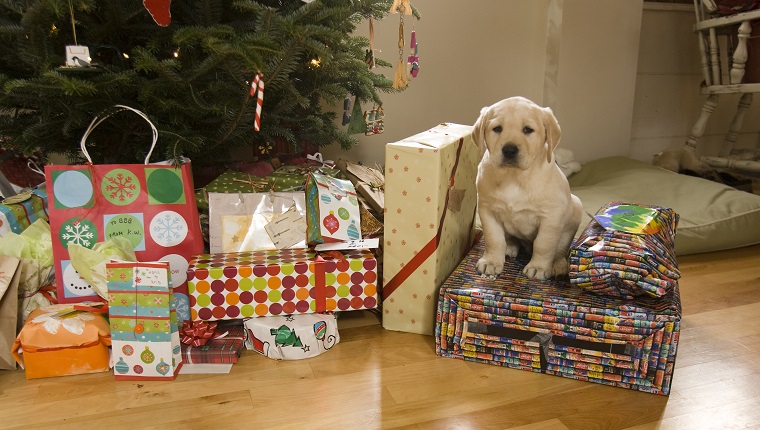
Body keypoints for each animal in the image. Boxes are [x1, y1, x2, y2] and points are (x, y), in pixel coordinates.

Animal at [472, 95, 584, 280]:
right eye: (497, 128)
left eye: (527, 130)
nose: (509, 150)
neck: (514, 177)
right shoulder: (487, 209)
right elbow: (493, 238)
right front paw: (491, 261)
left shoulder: (551, 216)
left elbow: (544, 243)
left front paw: (538, 267)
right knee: (510, 239)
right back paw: (510, 247)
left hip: (575, 207)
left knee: (560, 248)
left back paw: (559, 265)